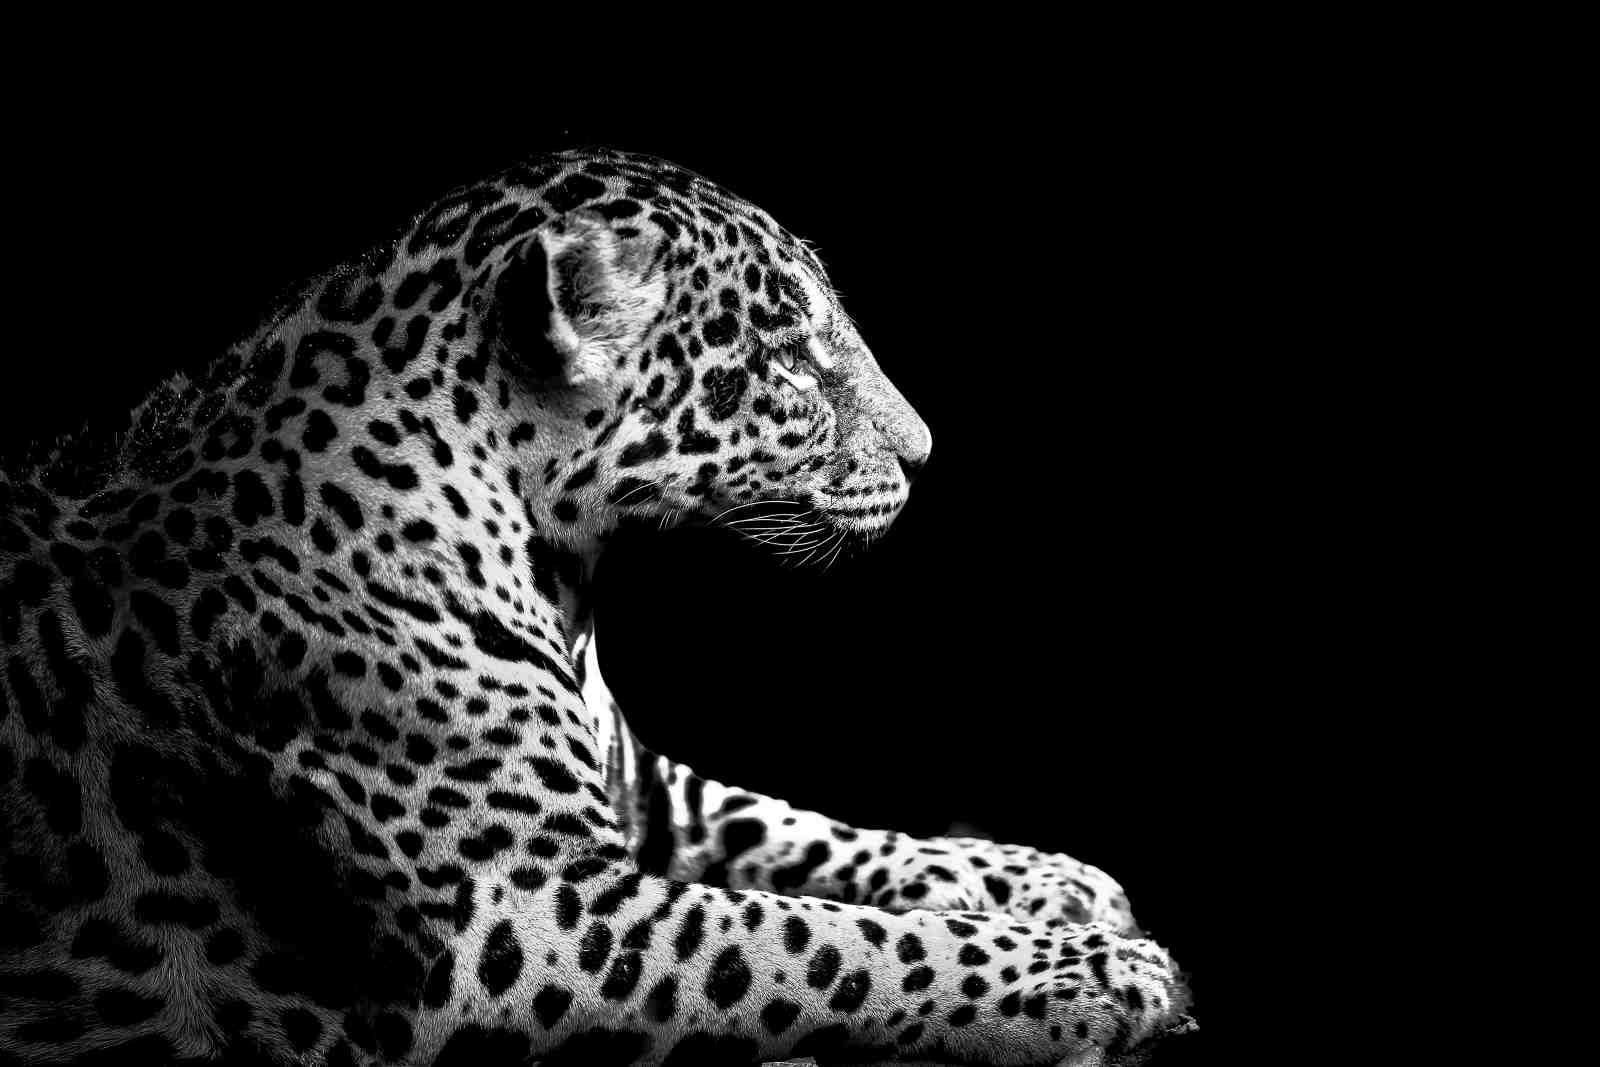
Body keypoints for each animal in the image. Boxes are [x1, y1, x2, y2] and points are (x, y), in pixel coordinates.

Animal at [0, 148, 1194, 1065]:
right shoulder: (531, 915)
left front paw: (1053, 879)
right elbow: (827, 942)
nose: (926, 451)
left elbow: (809, 830)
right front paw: (1105, 974)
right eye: (789, 362)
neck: (558, 566)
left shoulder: (643, 793)